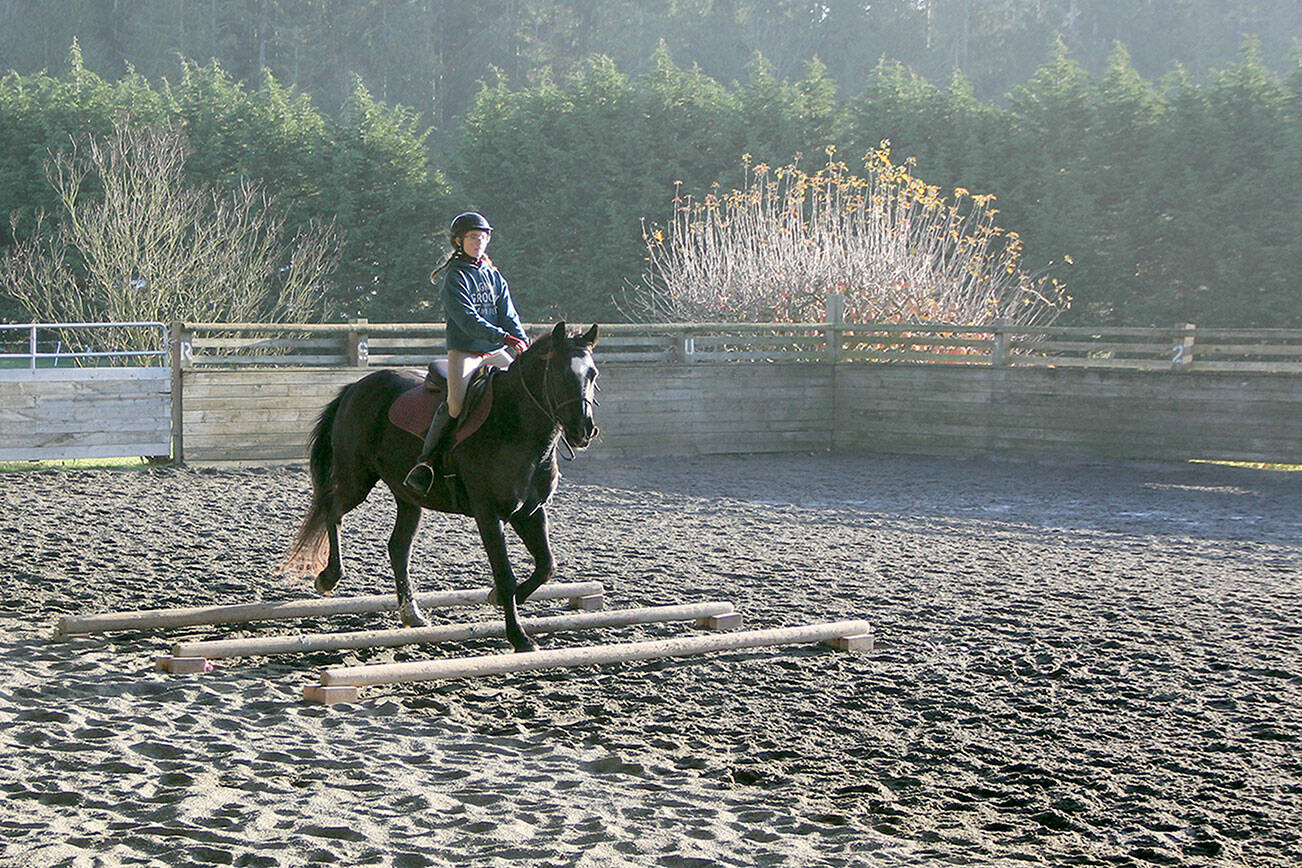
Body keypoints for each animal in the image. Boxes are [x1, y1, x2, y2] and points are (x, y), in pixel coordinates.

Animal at [280, 322, 600, 652]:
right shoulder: (489, 514)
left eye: (592, 374)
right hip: (357, 478)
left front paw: (501, 600)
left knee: (398, 547)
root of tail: (355, 387)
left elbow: (546, 565)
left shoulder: (530, 511)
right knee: (332, 510)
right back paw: (329, 577)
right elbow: (505, 575)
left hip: (408, 495)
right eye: (560, 373)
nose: (584, 430)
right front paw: (519, 637)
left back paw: (411, 613)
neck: (516, 428)